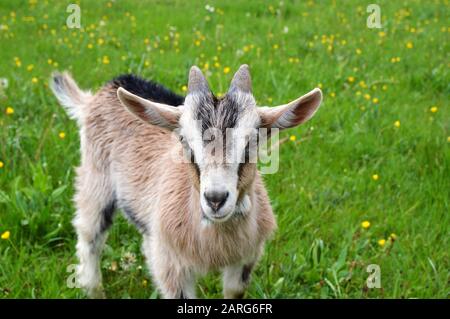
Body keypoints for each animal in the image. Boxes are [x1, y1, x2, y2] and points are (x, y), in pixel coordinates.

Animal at [51, 65, 322, 300]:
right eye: (185, 142)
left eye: (252, 143)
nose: (215, 199)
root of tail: (94, 98)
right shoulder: (172, 266)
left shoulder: (245, 258)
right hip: (96, 179)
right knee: (89, 235)